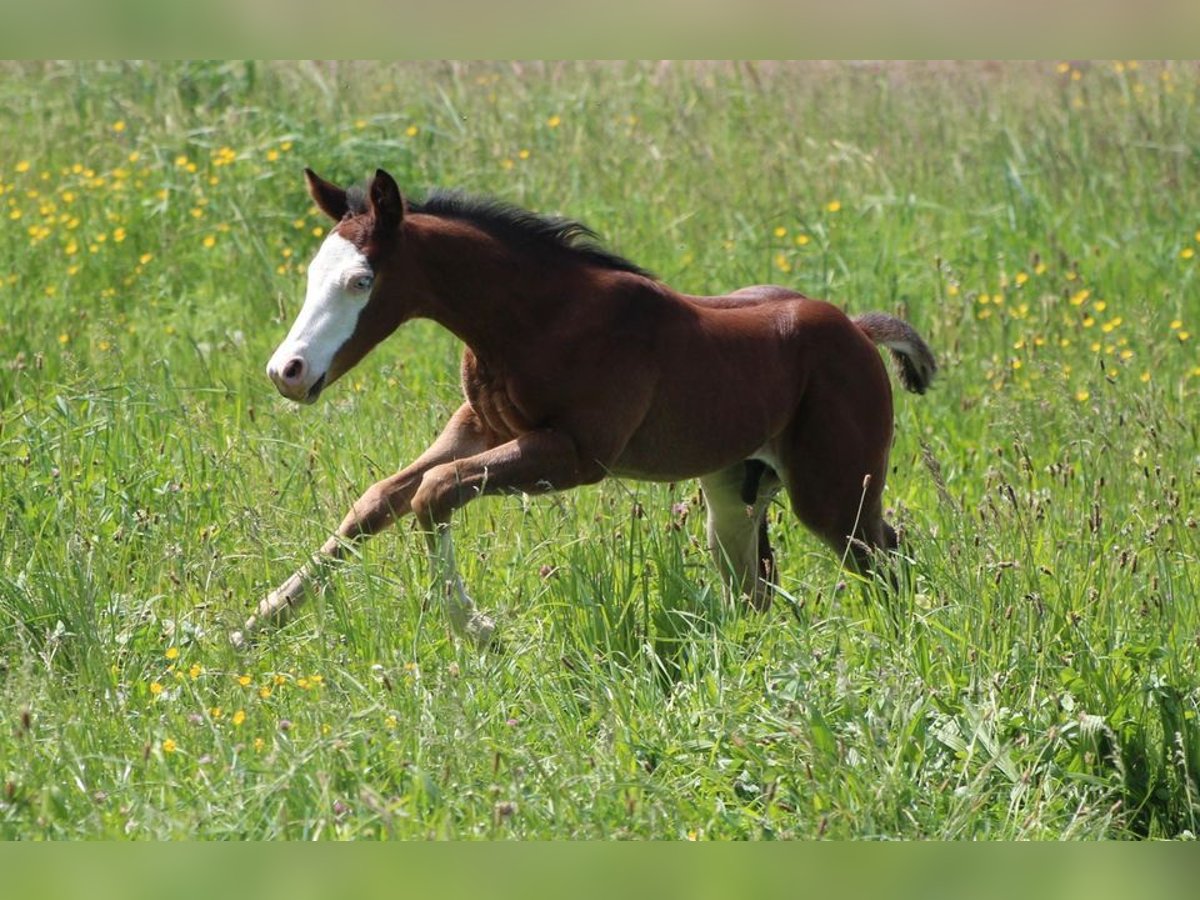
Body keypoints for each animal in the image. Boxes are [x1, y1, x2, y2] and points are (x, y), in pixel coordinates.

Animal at [234, 169, 936, 648]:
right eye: (310, 275)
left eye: (361, 281)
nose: (288, 372)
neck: (544, 319)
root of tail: (856, 329)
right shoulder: (478, 428)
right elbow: (381, 499)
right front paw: (252, 624)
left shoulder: (574, 455)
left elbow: (434, 493)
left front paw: (479, 629)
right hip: (734, 495)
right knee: (756, 585)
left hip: (834, 491)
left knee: (886, 554)